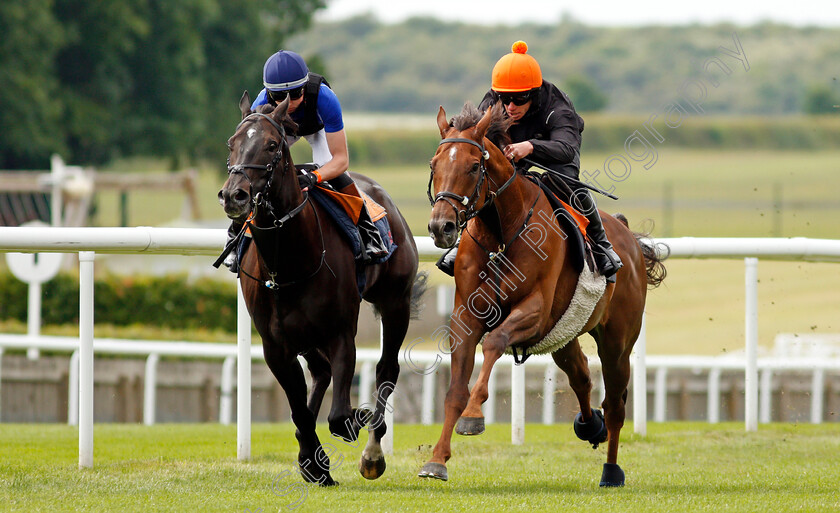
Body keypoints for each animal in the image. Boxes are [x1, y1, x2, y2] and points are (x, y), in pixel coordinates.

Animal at [220, 93, 424, 484]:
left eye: (272, 145)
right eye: (232, 143)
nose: (234, 195)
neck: (288, 262)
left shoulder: (340, 333)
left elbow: (340, 416)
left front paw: (357, 423)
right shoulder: (276, 345)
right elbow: (299, 409)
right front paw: (314, 463)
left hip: (396, 303)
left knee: (386, 369)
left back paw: (373, 451)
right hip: (304, 335)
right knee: (319, 374)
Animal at [424, 102, 668, 486]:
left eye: (474, 166)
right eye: (435, 165)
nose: (441, 227)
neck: (500, 234)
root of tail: (628, 237)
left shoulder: (535, 313)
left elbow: (494, 342)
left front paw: (475, 414)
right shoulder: (465, 316)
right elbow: (455, 390)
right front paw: (437, 460)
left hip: (617, 341)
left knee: (615, 404)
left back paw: (611, 470)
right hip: (563, 333)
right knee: (581, 376)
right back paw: (590, 426)